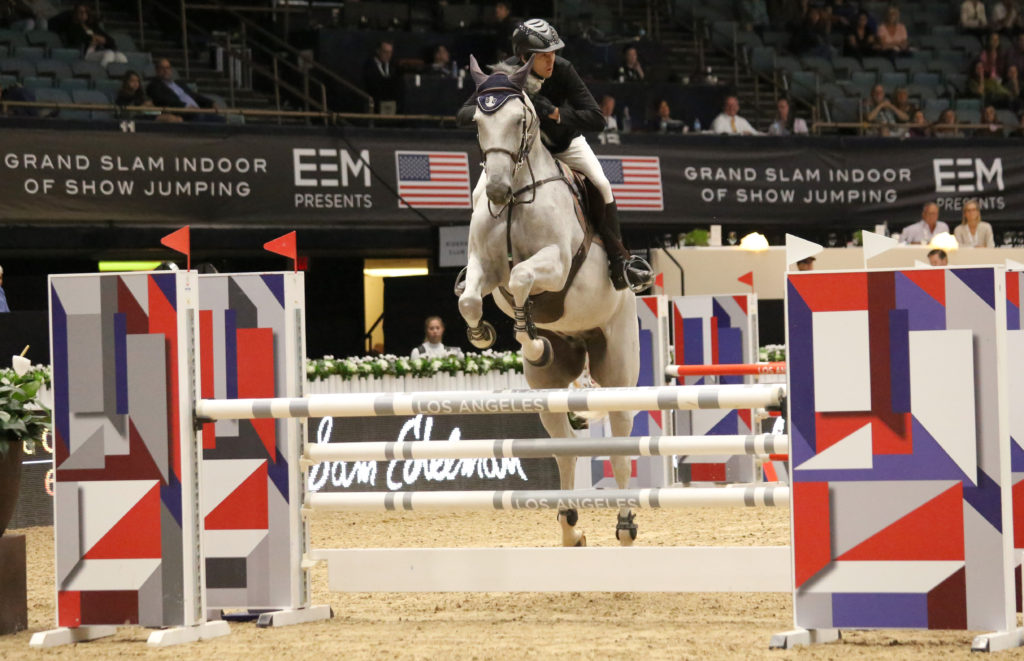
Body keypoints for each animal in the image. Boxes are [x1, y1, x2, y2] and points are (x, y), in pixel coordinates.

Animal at [458, 57, 638, 548]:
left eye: (521, 121)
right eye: (478, 122)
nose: (496, 192)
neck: (519, 196)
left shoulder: (554, 265)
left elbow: (523, 276)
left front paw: (533, 340)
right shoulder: (483, 267)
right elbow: (470, 299)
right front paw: (486, 333)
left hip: (617, 367)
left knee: (621, 439)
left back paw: (625, 524)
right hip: (547, 390)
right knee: (564, 447)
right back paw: (569, 525)